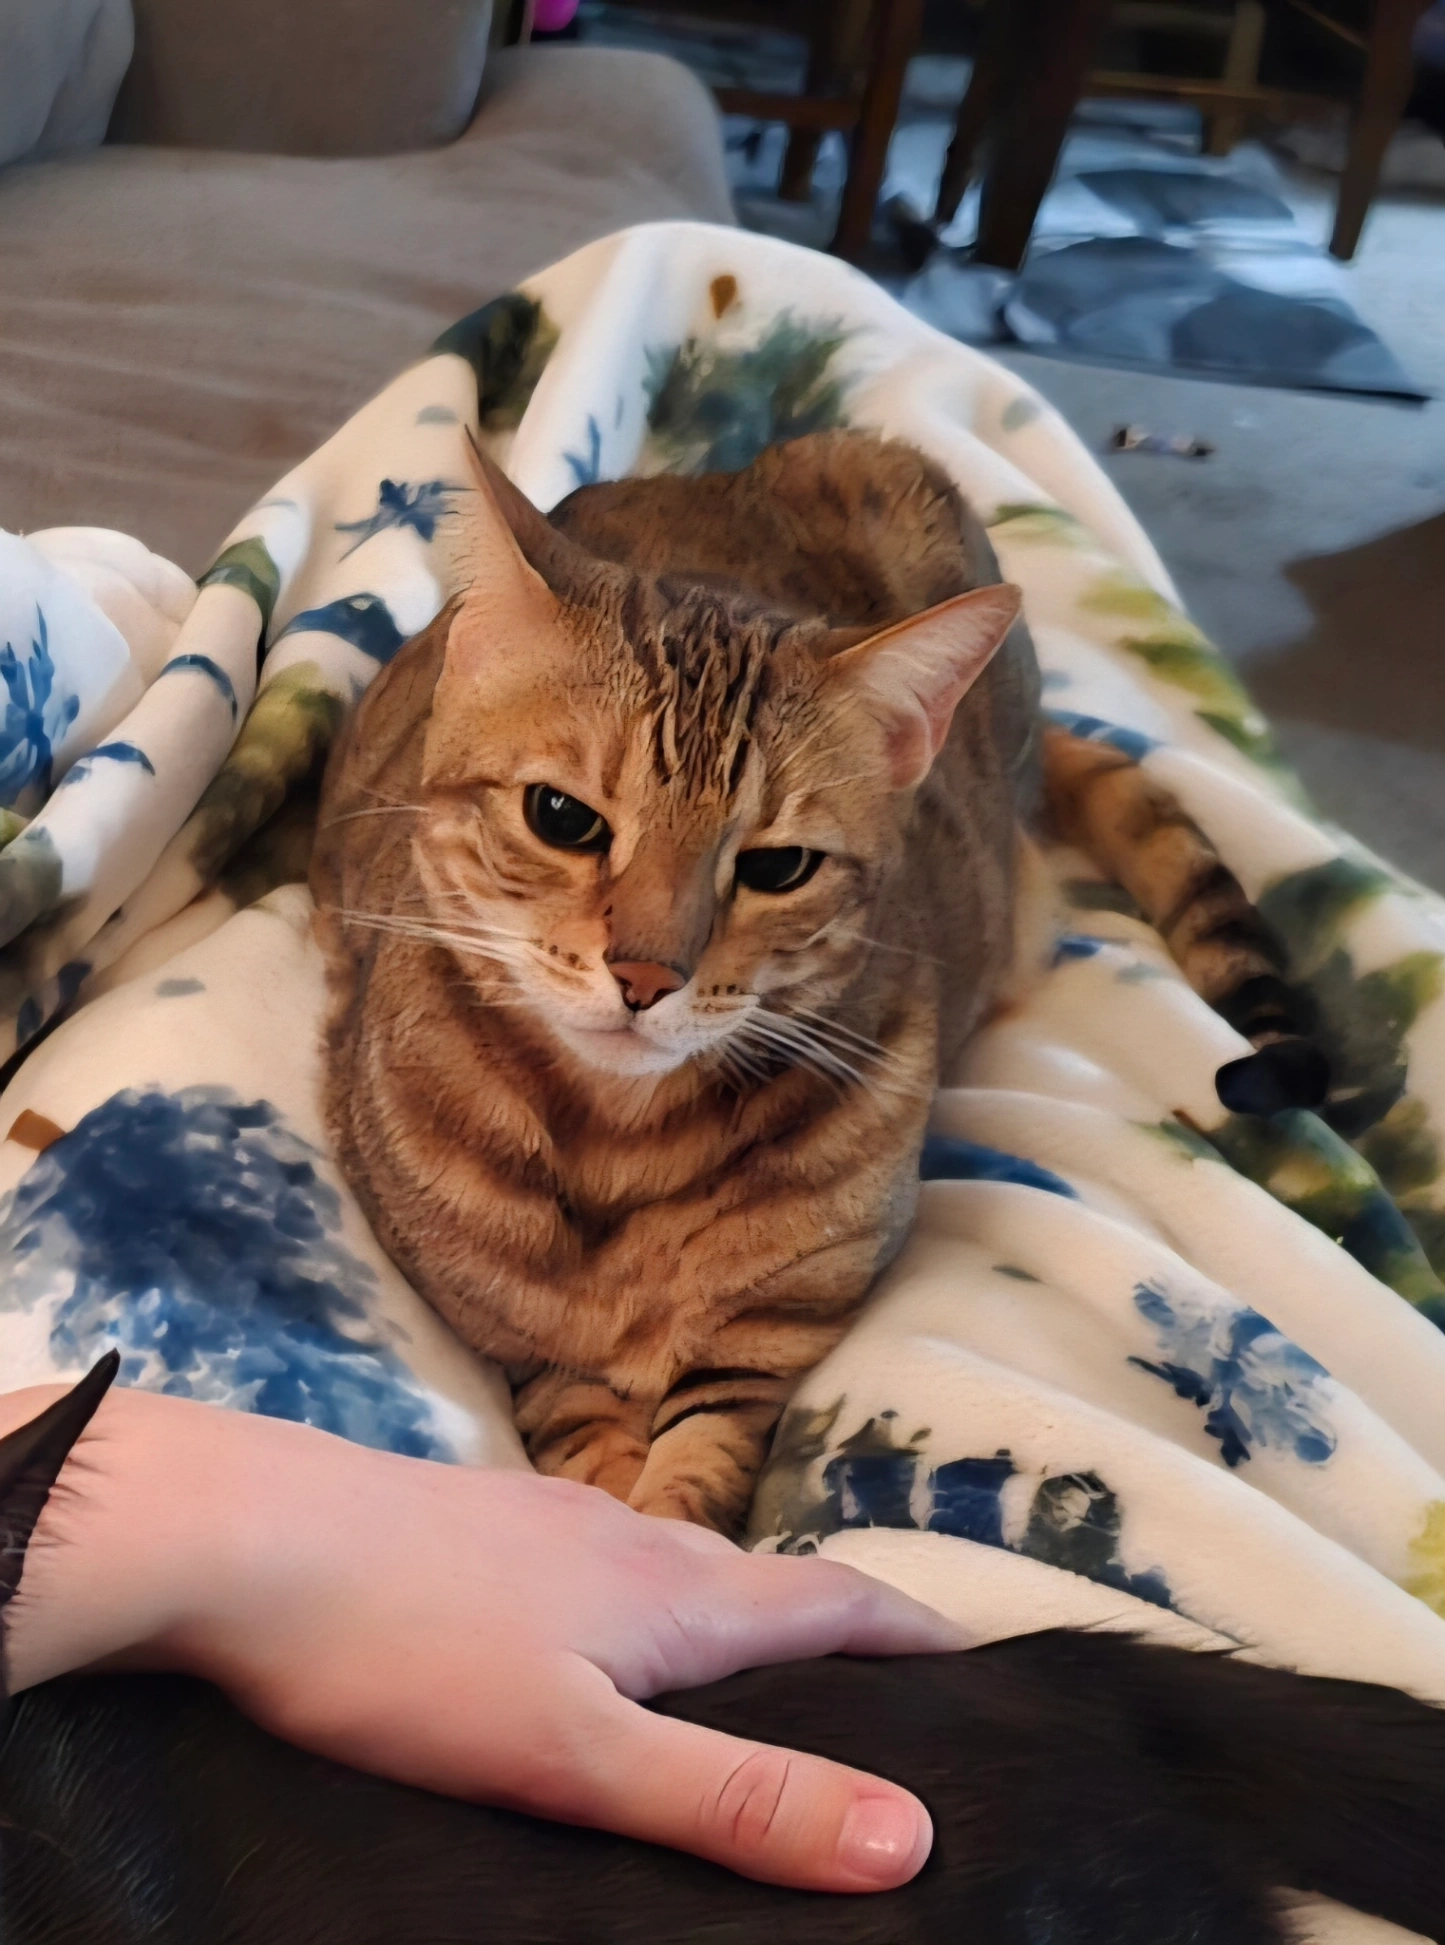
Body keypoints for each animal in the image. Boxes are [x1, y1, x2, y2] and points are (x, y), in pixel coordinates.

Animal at [312, 430, 1320, 1536]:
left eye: (778, 867)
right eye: (561, 816)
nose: (644, 976)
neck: (621, 1140)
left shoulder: (775, 1328)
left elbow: (705, 1451)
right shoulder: (510, 1336)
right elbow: (573, 1418)